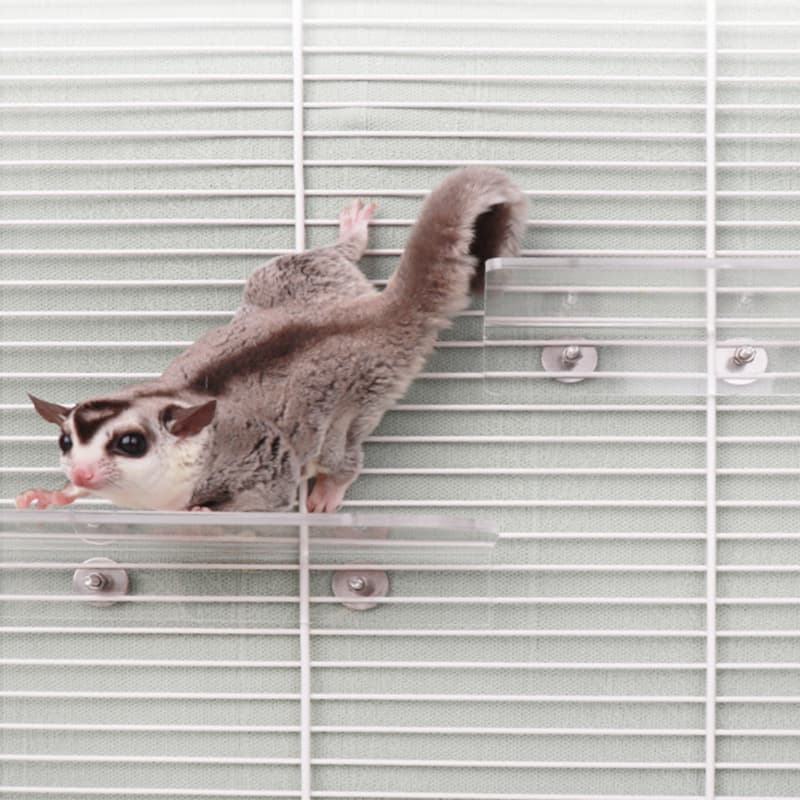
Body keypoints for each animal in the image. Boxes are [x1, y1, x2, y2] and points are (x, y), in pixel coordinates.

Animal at [16, 167, 528, 513]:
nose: (81, 470)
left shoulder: (257, 464)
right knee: (318, 260)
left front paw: (204, 512)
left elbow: (269, 496)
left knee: (341, 453)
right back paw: (352, 235)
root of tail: (368, 314)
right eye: (65, 442)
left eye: (129, 444)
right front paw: (52, 494)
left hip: (354, 403)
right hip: (300, 278)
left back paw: (330, 487)